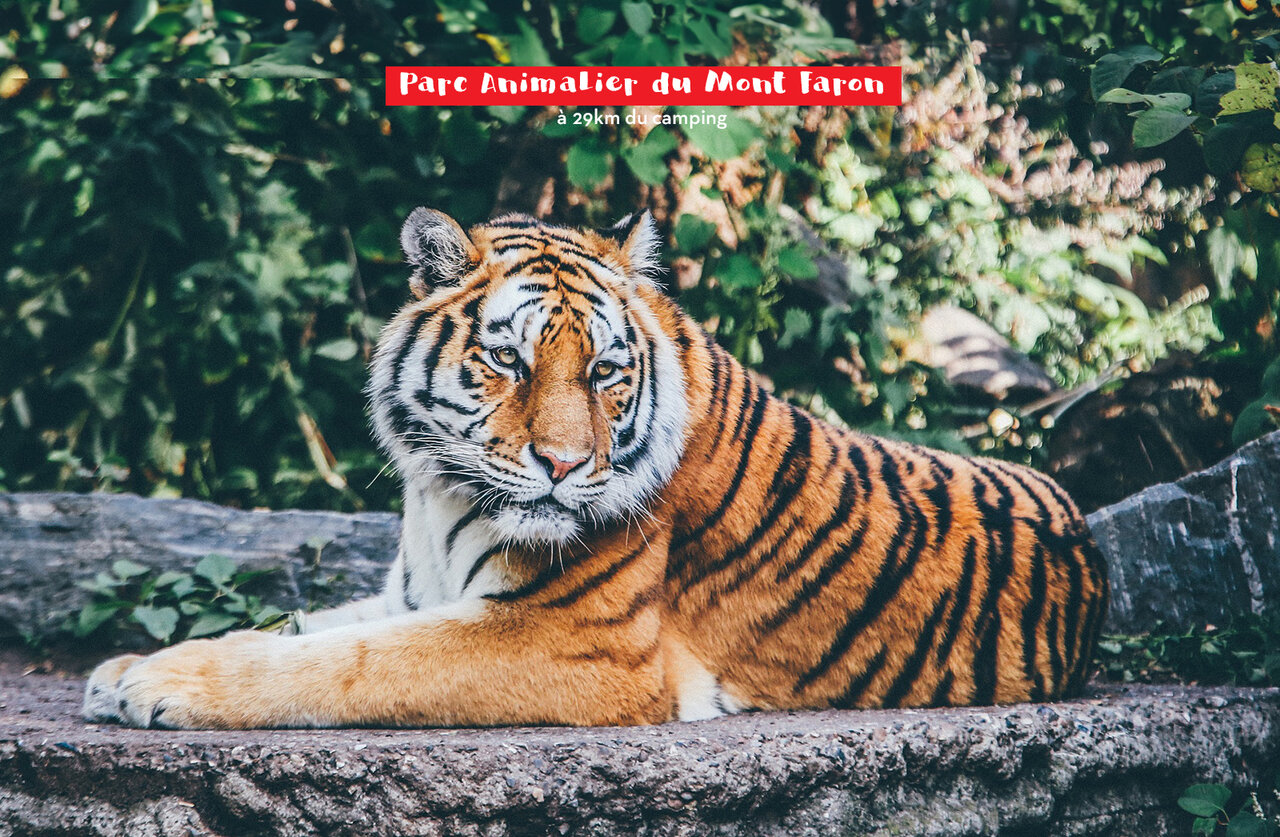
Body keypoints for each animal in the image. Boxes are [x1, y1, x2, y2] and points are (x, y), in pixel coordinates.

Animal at [83, 208, 1108, 729]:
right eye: (509, 360)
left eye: (606, 371)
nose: (565, 464)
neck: (438, 494)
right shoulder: (414, 592)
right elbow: (301, 627)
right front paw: (127, 667)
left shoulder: (570, 641)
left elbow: (346, 663)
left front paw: (160, 686)